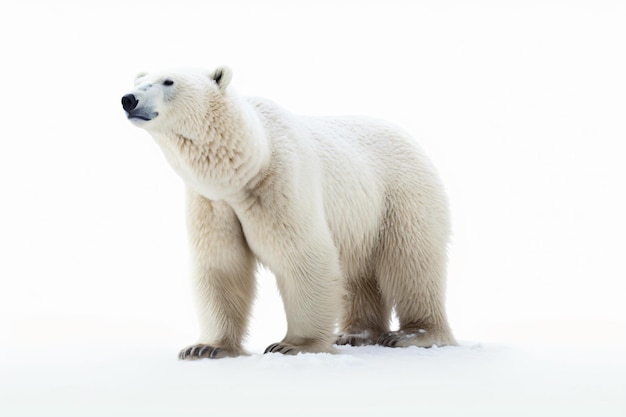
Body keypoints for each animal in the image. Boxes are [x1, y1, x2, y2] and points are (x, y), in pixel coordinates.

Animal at [120, 66, 454, 358]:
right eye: (140, 79)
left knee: (411, 261)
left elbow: (302, 256)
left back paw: (413, 334)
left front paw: (293, 345)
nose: (128, 99)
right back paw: (356, 334)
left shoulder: (280, 184)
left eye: (168, 81)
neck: (251, 162)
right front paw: (205, 347)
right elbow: (222, 266)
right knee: (360, 273)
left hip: (401, 195)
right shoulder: (214, 203)